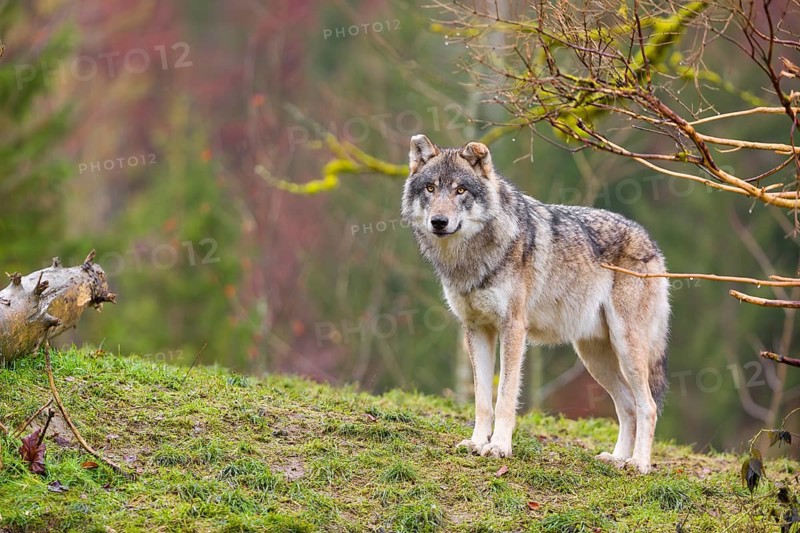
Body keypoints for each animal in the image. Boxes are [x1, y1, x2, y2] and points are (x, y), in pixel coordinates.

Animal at [400, 134, 670, 474]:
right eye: (430, 188)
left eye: (460, 190)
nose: (439, 221)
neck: (471, 258)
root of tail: (650, 240)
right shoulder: (476, 330)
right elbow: (482, 400)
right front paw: (477, 443)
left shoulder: (513, 328)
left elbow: (504, 397)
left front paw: (499, 447)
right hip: (594, 356)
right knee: (627, 405)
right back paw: (617, 459)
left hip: (625, 346)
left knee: (648, 406)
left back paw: (638, 464)